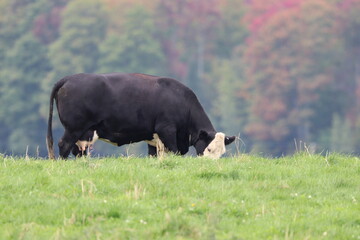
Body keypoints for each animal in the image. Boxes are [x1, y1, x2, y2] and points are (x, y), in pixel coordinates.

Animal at [45, 73, 236, 159]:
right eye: (209, 149)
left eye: (222, 152)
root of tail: (70, 78)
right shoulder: (166, 130)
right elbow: (173, 152)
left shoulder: (153, 138)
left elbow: (154, 155)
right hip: (73, 128)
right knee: (64, 145)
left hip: (83, 132)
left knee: (77, 150)